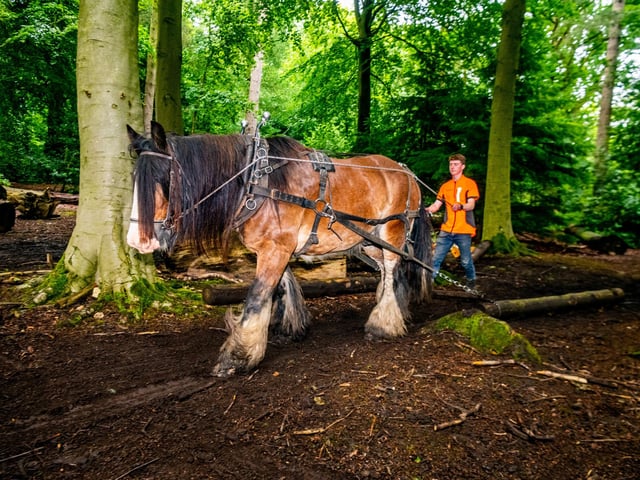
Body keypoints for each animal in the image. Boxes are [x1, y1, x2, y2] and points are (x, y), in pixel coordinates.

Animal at [126, 121, 432, 377]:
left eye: (161, 177)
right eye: (135, 178)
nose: (137, 241)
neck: (257, 182)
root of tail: (406, 171)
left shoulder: (275, 250)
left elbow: (256, 297)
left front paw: (237, 356)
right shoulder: (275, 249)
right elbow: (281, 289)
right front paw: (287, 329)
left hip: (392, 232)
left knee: (392, 270)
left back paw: (383, 325)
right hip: (368, 242)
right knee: (391, 274)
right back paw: (394, 310)